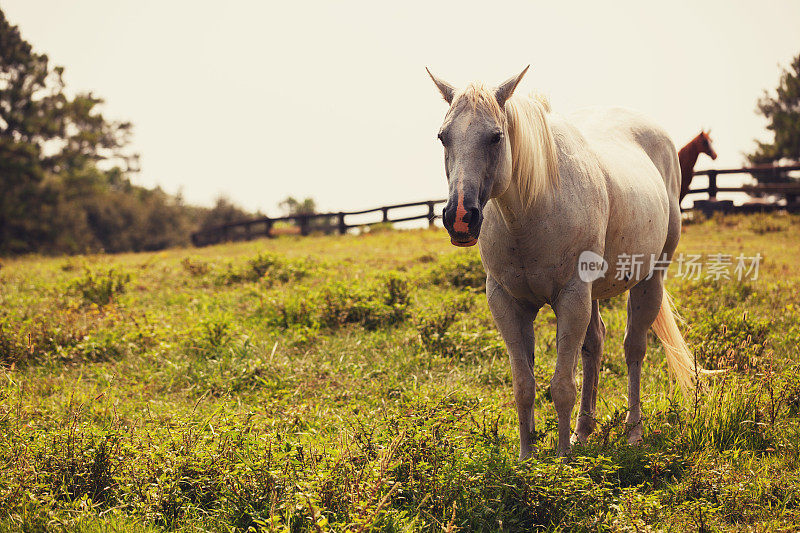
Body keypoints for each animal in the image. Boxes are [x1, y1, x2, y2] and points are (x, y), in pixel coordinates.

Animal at [428, 66, 704, 458]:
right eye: (443, 137)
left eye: (495, 137)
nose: (461, 218)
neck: (532, 211)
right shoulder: (506, 302)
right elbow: (524, 385)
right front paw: (527, 457)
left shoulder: (571, 298)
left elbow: (561, 386)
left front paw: (560, 460)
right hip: (593, 294)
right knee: (594, 347)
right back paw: (583, 432)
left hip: (649, 279)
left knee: (633, 348)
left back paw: (632, 432)